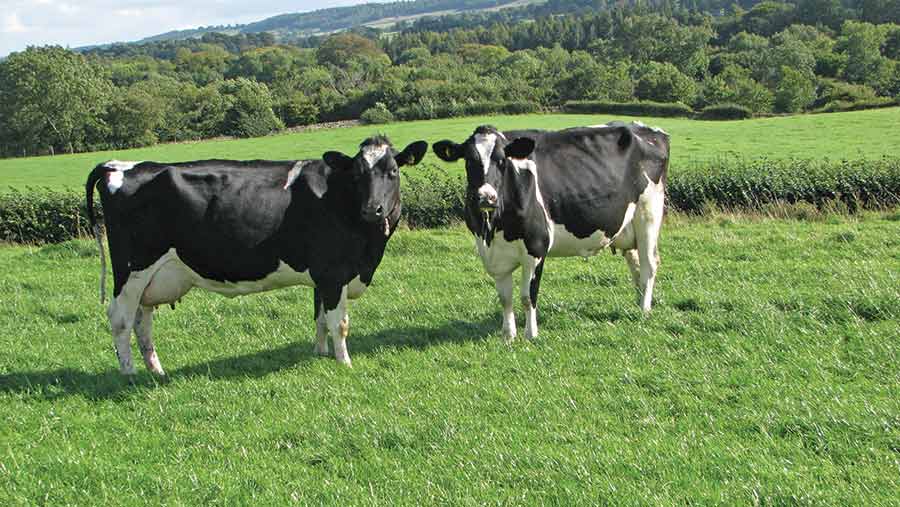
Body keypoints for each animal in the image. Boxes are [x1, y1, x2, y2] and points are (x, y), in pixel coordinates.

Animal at [85, 136, 428, 377]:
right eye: (357, 174)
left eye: (393, 171)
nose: (373, 209)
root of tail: (119, 165)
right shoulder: (333, 272)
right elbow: (338, 322)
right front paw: (344, 363)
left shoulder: (322, 274)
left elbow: (319, 318)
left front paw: (321, 355)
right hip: (133, 270)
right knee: (120, 319)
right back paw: (129, 373)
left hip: (153, 279)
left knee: (142, 322)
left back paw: (156, 371)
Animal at [432, 122, 669, 340]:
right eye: (469, 161)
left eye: (502, 160)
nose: (486, 197)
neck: (492, 229)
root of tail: (645, 128)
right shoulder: (493, 255)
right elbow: (505, 298)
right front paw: (508, 336)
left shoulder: (536, 247)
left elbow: (528, 296)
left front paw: (531, 334)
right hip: (627, 228)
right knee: (635, 265)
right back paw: (638, 302)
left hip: (648, 214)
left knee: (649, 265)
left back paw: (644, 310)